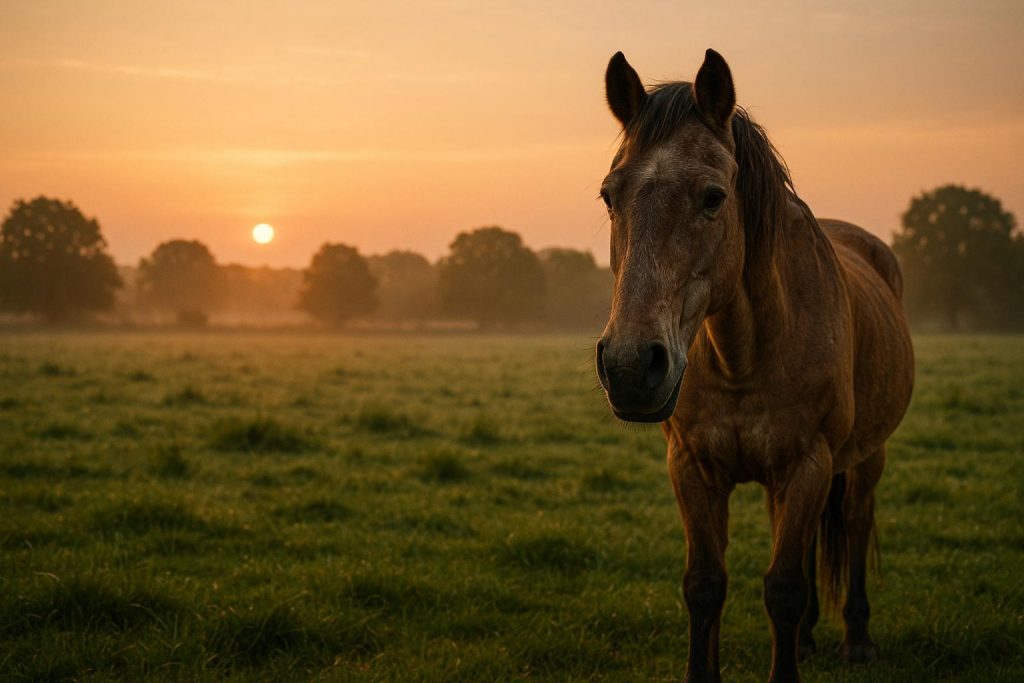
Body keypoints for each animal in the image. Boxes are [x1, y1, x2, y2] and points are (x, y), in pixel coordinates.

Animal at [595, 49, 914, 682]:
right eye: (609, 196)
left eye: (714, 196)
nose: (629, 366)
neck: (741, 358)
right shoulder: (692, 467)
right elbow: (705, 585)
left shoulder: (808, 463)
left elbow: (783, 588)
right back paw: (810, 639)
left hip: (864, 458)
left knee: (856, 523)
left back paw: (856, 639)